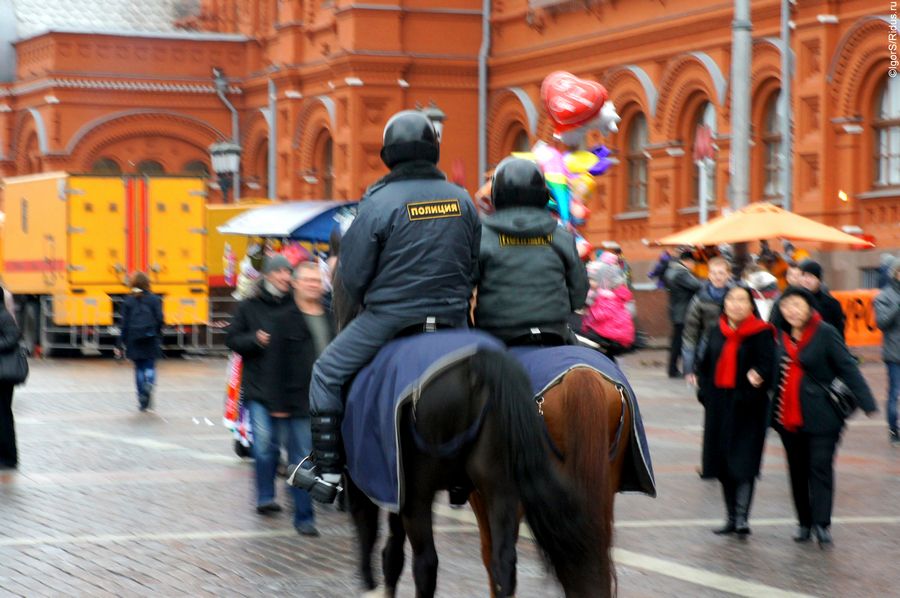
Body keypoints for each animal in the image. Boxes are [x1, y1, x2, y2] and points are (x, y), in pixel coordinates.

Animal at [330, 276, 604, 598]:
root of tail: (479, 364)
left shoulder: (378, 484)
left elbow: (380, 542)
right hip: (499, 485)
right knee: (503, 562)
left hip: (419, 493)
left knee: (425, 563)